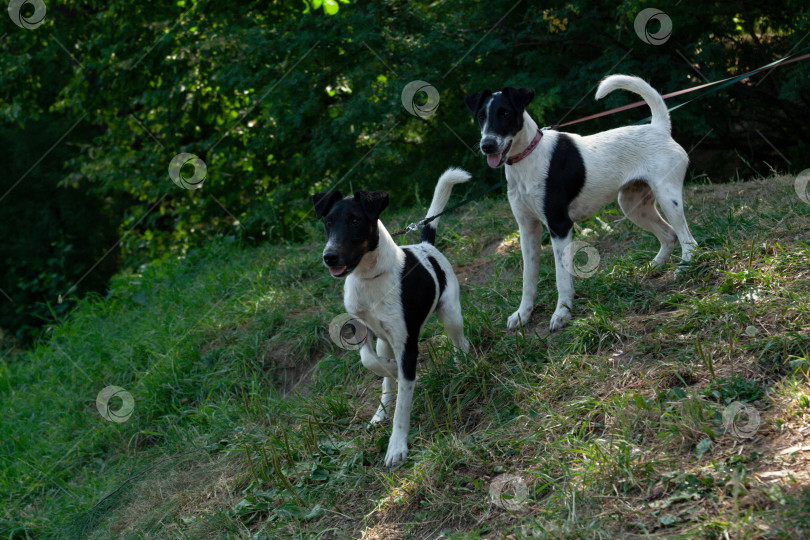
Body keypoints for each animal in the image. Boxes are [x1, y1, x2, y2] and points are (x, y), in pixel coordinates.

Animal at [312, 170, 470, 468]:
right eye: (328, 222)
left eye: (355, 220)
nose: (329, 257)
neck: (370, 277)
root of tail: (424, 244)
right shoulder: (361, 328)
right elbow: (370, 361)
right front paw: (391, 371)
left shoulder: (406, 343)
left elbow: (403, 403)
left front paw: (396, 446)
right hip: (383, 340)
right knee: (384, 376)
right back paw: (380, 410)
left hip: (451, 313)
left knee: (460, 342)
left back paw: (464, 366)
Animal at [464, 74, 696, 332]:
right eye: (481, 116)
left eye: (505, 113)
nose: (487, 145)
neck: (528, 157)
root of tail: (658, 128)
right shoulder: (527, 229)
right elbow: (528, 279)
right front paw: (523, 315)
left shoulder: (559, 226)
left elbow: (561, 277)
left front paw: (562, 313)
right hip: (633, 205)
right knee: (669, 235)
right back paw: (653, 267)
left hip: (668, 198)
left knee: (688, 240)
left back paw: (685, 269)